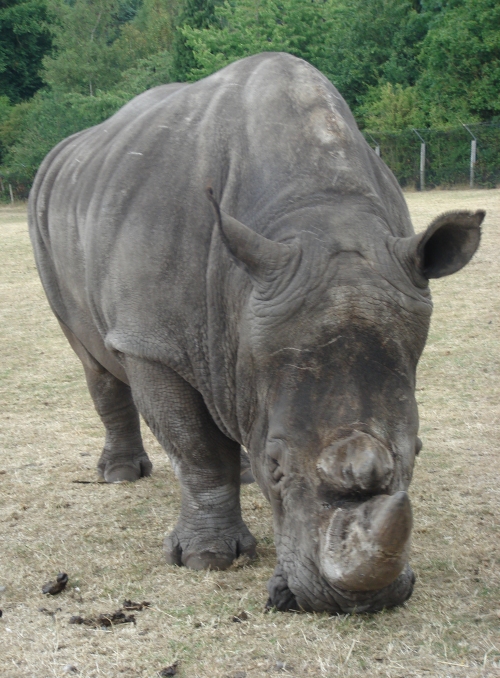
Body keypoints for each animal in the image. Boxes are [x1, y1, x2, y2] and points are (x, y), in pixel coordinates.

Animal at [28, 53, 484, 616]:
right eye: (277, 464)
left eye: (418, 450)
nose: (352, 604)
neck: (316, 211)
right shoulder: (152, 342)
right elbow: (195, 447)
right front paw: (206, 560)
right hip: (48, 220)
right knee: (93, 358)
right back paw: (121, 475)